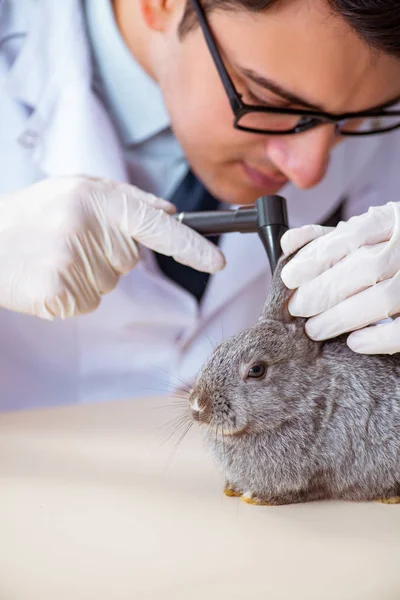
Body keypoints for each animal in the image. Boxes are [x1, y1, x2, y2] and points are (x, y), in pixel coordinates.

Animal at [189, 254, 400, 506]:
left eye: (256, 370)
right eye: (218, 349)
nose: (197, 405)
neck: (311, 399)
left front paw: (258, 497)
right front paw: (233, 489)